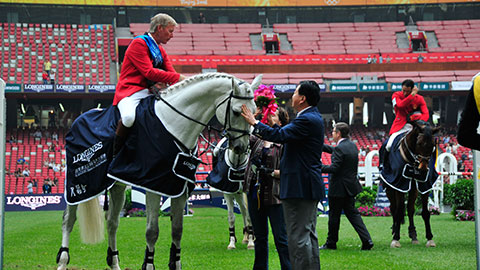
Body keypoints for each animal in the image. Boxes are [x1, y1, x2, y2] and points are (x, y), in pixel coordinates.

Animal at [56, 72, 262, 270]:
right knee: (68, 220)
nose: (241, 147)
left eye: (254, 112)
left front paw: (175, 263)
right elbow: (152, 231)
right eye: (236, 111)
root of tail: (80, 117)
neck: (173, 125)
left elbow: (177, 230)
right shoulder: (153, 185)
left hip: (117, 186)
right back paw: (63, 262)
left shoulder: (179, 188)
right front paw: (148, 264)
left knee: (112, 222)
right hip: (78, 186)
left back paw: (115, 263)